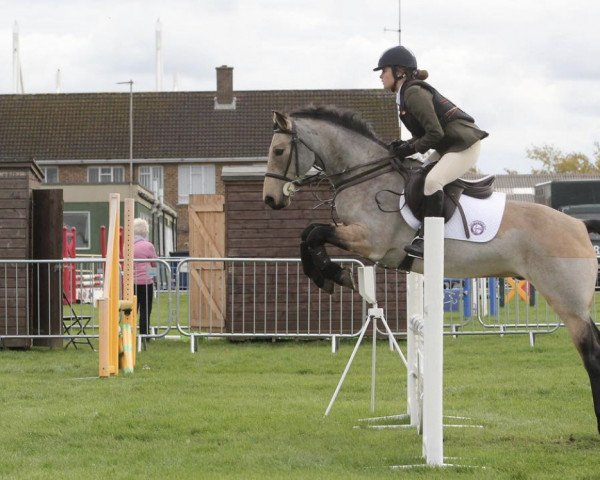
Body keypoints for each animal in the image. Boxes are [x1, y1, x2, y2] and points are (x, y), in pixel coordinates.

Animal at [264, 106, 600, 436]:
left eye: (279, 151)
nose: (270, 199)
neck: (366, 178)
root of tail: (580, 225)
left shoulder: (368, 241)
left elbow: (315, 233)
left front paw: (333, 275)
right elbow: (308, 234)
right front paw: (329, 275)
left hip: (568, 303)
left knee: (591, 352)